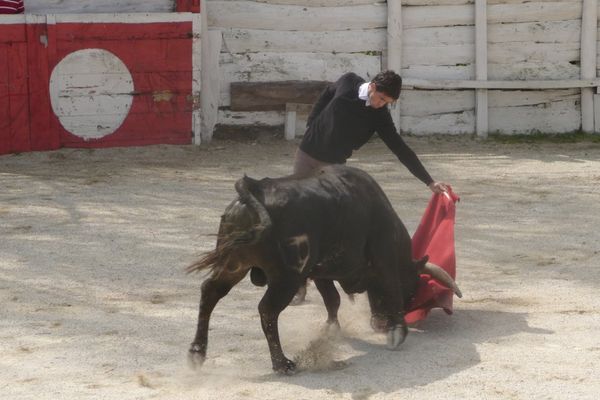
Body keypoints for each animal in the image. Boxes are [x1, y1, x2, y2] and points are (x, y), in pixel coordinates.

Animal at [188, 164, 464, 374]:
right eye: (413, 288)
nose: (379, 323)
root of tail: (255, 188)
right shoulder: (384, 259)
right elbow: (390, 289)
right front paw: (398, 332)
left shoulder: (320, 271)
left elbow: (332, 300)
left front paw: (331, 331)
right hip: (286, 278)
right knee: (267, 309)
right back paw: (282, 364)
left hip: (234, 263)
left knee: (210, 292)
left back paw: (197, 353)